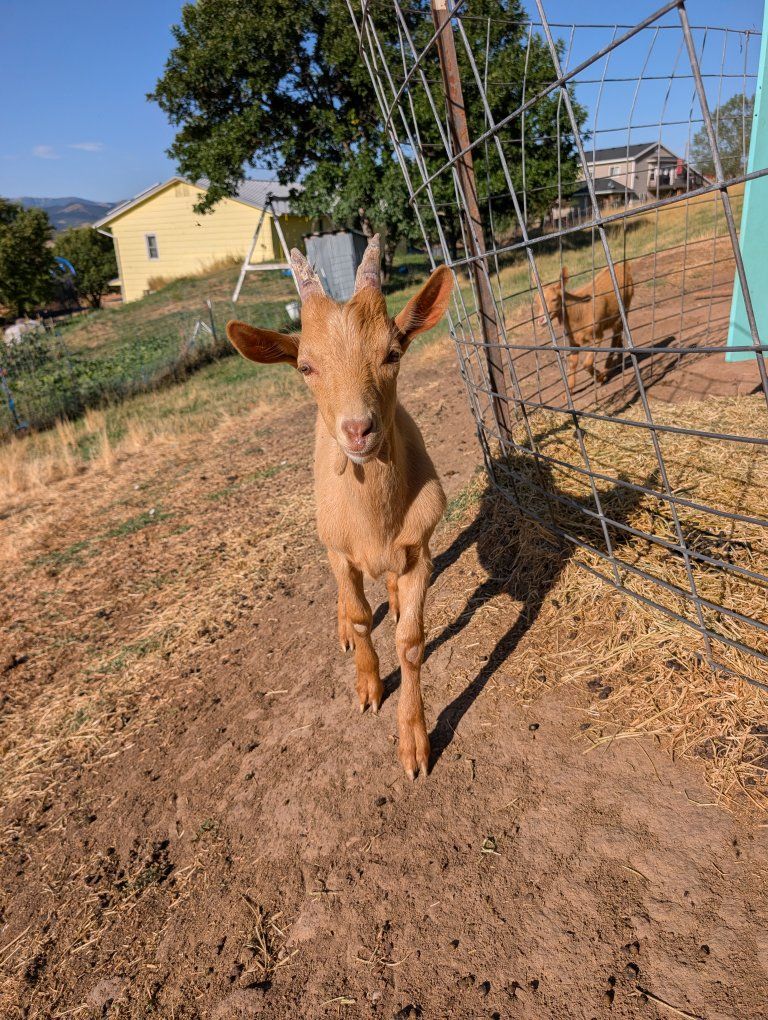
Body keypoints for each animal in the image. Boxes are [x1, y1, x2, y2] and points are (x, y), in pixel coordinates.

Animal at [226, 236, 453, 778]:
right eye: (306, 367)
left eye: (393, 353)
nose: (358, 430)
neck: (373, 523)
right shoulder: (339, 549)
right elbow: (358, 615)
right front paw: (368, 687)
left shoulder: (420, 549)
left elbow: (411, 642)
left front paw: (414, 744)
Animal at [534, 262, 634, 392]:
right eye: (536, 301)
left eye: (554, 299)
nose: (541, 320)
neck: (577, 313)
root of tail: (622, 266)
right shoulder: (573, 342)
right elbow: (573, 363)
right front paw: (569, 390)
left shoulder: (596, 336)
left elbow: (586, 364)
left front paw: (600, 377)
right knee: (617, 336)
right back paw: (617, 362)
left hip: (624, 308)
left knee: (615, 336)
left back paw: (606, 369)